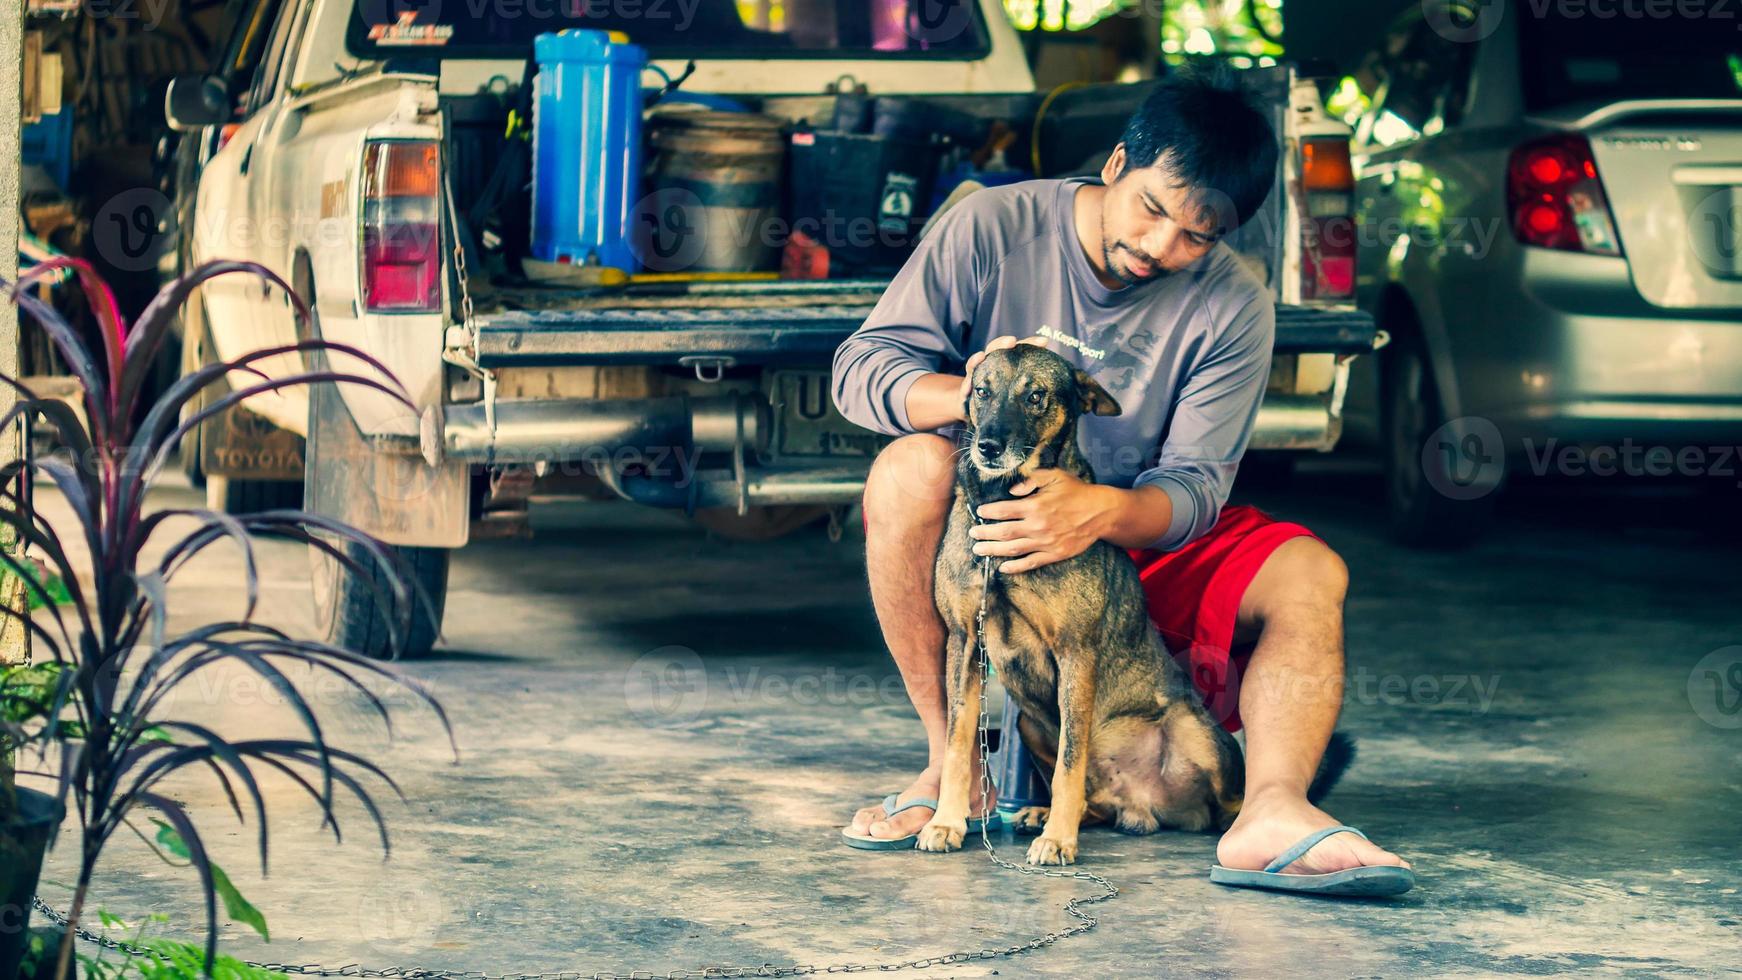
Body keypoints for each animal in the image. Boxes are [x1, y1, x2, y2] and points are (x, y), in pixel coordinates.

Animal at [912, 344, 1254, 866]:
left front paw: (1058, 840)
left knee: (1231, 800)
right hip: (1031, 724)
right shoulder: (965, 642)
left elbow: (1070, 761)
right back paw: (1045, 814)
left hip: (1201, 735)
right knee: (1093, 801)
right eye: (981, 391)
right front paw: (946, 822)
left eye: (1035, 396)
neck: (1001, 505)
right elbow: (957, 743)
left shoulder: (1076, 652)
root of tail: (1145, 805)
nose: (987, 446)